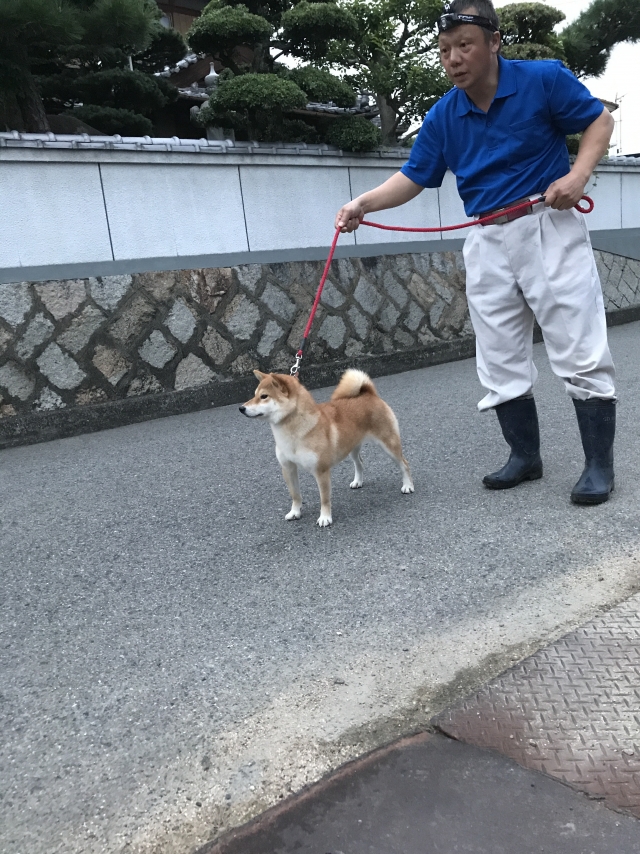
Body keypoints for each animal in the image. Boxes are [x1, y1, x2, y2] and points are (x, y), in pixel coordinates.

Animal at [240, 370, 416, 528]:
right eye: (254, 395)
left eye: (264, 396)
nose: (241, 408)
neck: (292, 431)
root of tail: (369, 394)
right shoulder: (288, 468)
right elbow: (295, 495)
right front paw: (295, 512)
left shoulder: (321, 471)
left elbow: (324, 498)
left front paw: (325, 518)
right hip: (351, 447)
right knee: (360, 463)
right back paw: (358, 481)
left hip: (389, 444)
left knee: (404, 463)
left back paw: (408, 486)